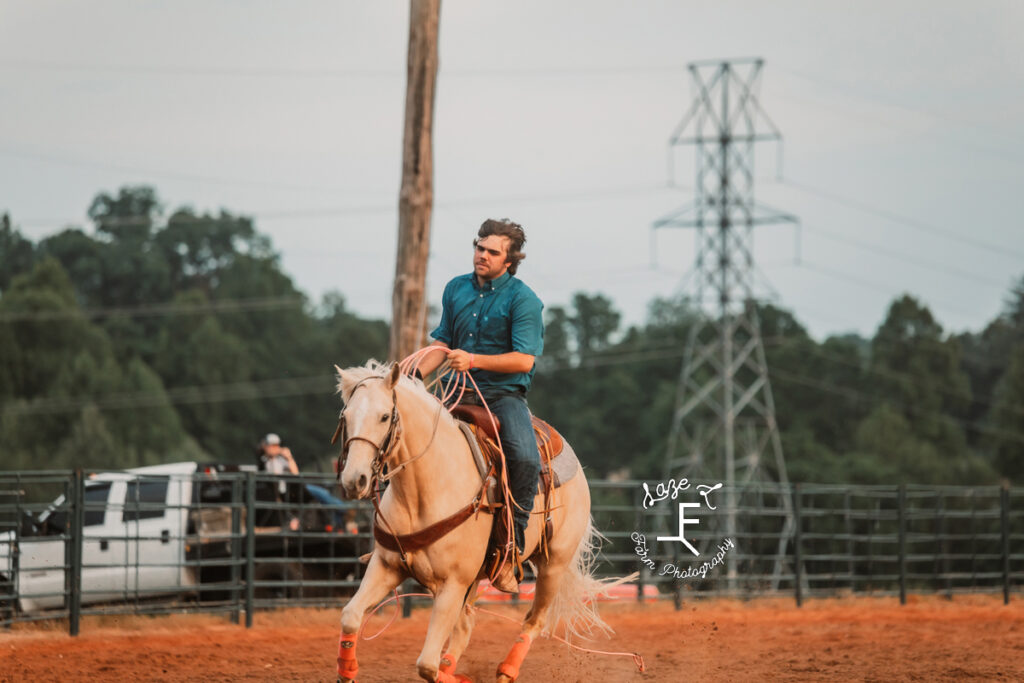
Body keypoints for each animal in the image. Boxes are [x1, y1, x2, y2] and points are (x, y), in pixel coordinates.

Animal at [335, 360, 606, 679]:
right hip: (479, 576)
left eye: (384, 416)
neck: (427, 487)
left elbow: (427, 665)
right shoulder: (387, 566)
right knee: (466, 625)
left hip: (553, 565)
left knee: (533, 621)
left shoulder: (453, 583)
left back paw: (506, 671)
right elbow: (351, 616)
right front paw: (347, 670)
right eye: (346, 417)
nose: (354, 480)